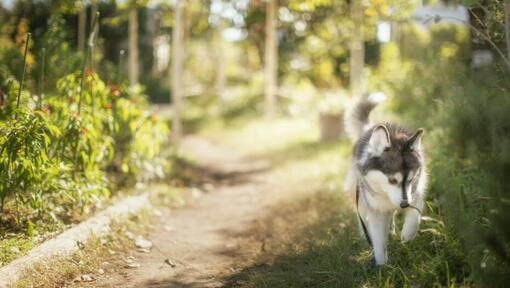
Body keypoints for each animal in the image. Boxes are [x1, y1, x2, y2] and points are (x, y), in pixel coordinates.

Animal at [344, 95, 428, 266]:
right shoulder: (377, 210)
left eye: (410, 180)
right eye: (392, 180)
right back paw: (366, 233)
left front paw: (407, 235)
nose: (404, 205)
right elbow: (378, 240)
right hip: (359, 195)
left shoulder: (416, 194)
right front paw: (382, 265)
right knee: (363, 216)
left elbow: (414, 217)